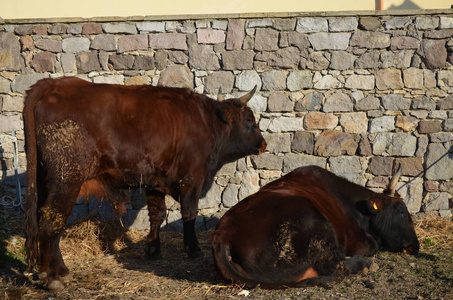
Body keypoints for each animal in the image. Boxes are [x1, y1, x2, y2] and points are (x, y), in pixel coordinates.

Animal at [23, 76, 264, 290]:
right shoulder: (191, 180)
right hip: (66, 181)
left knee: (43, 219)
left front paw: (153, 250)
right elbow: (189, 213)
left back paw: (51, 271)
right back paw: (54, 277)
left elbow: (157, 215)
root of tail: (51, 84)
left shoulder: (154, 183)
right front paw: (193, 249)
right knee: (52, 220)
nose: (263, 143)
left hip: (45, 181)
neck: (207, 122)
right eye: (250, 119)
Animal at [211, 165, 416, 288]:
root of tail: (222, 235)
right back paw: (364, 264)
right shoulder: (357, 241)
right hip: (312, 220)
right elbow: (372, 246)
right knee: (335, 267)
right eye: (400, 210)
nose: (416, 244)